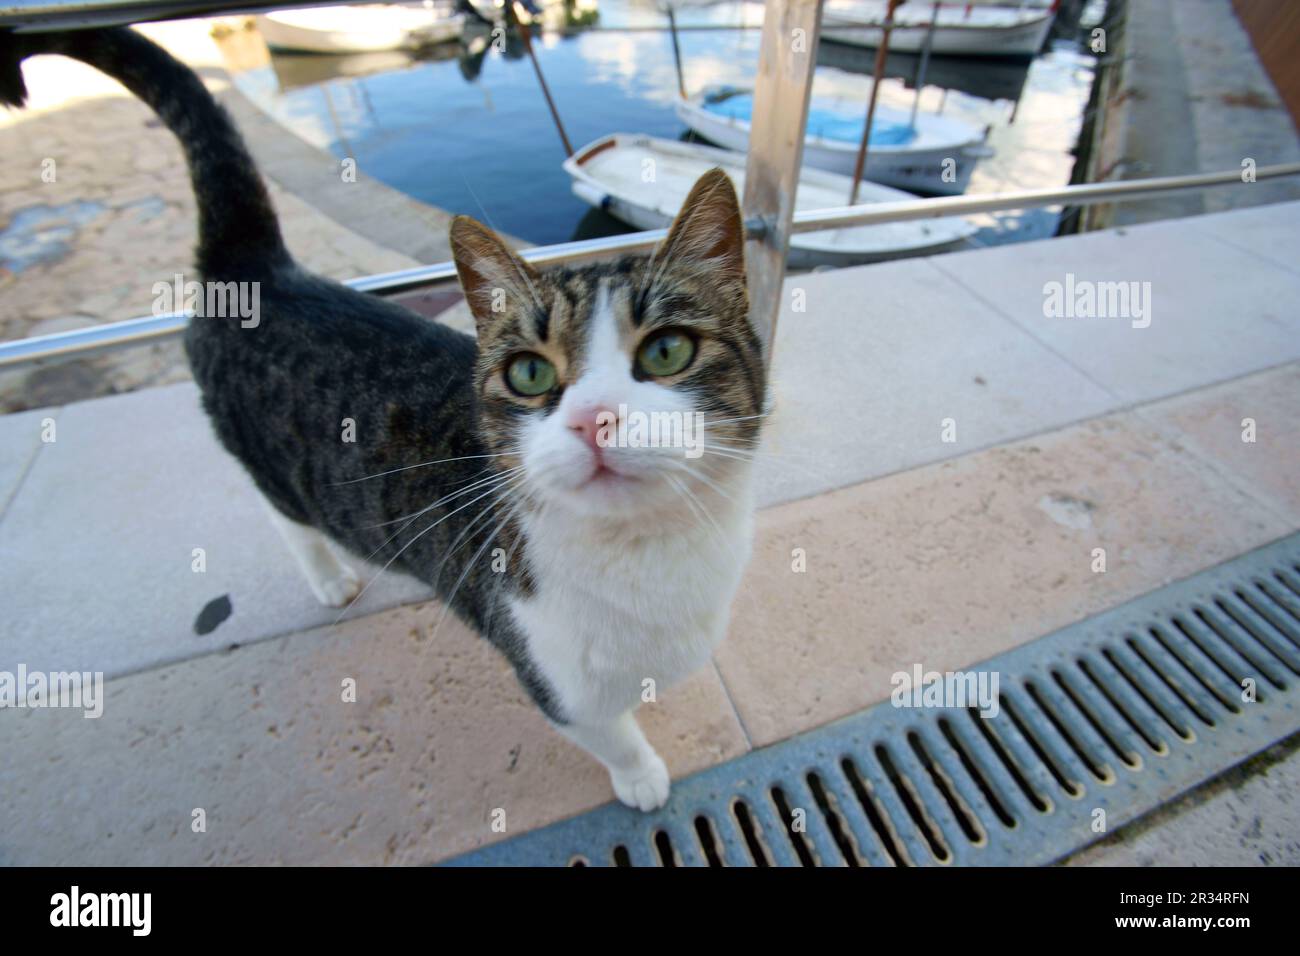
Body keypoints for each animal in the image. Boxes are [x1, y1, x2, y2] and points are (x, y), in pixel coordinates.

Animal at [2, 26, 759, 811]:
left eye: (667, 350)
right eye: (529, 373)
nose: (594, 419)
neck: (647, 553)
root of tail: (259, 268)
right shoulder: (550, 675)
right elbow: (609, 733)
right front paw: (641, 776)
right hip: (269, 463)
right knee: (283, 513)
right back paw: (329, 577)